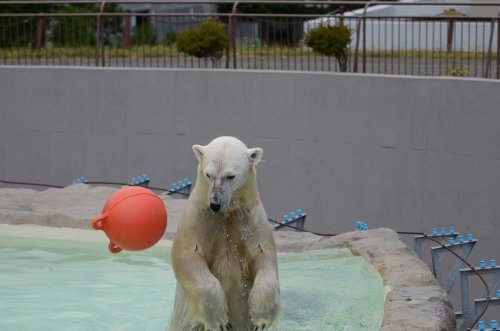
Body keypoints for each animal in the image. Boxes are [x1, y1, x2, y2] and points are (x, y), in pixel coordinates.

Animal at [170, 137, 282, 331]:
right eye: (209, 175)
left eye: (230, 176)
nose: (215, 203)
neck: (226, 213)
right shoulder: (198, 217)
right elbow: (187, 255)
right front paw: (220, 320)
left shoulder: (250, 219)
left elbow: (263, 255)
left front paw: (261, 317)